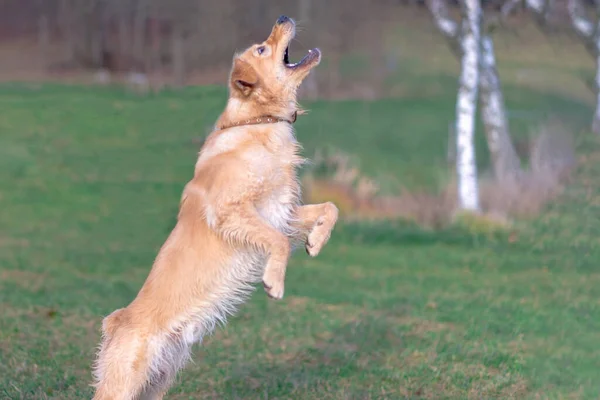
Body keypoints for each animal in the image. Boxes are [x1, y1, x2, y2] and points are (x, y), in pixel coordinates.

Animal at [92, 14, 338, 398]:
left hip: (158, 380)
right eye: (262, 49)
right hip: (126, 382)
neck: (258, 123)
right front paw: (274, 282)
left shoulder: (280, 211)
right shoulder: (231, 211)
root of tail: (117, 321)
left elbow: (330, 208)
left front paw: (315, 241)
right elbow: (279, 243)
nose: (283, 17)